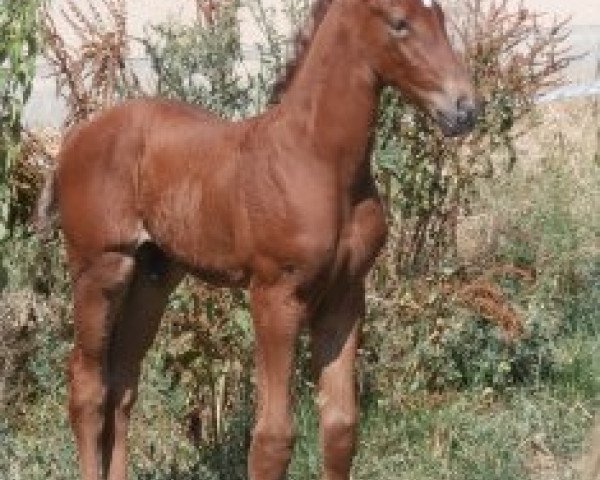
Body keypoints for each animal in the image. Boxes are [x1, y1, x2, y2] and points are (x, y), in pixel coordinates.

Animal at [36, 0, 478, 478]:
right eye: (399, 23)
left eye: (443, 18)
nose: (465, 108)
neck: (318, 161)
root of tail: (72, 139)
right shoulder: (275, 295)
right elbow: (272, 439)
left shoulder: (345, 296)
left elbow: (341, 427)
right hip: (100, 268)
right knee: (87, 385)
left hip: (151, 278)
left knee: (121, 383)